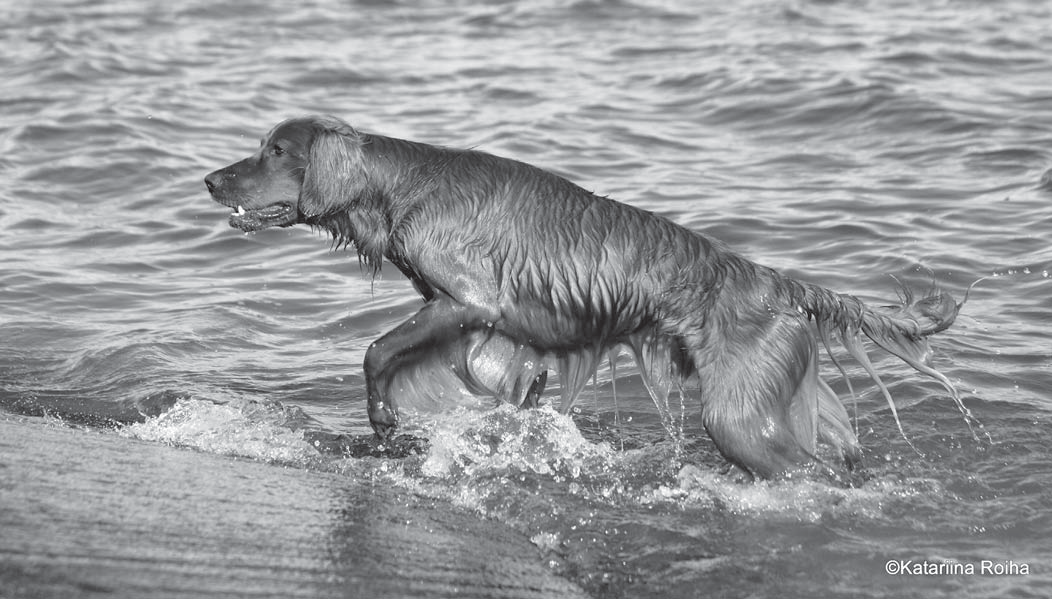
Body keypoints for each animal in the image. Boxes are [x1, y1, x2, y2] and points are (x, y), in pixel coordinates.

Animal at [207, 115, 967, 482]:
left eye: (276, 151)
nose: (211, 180)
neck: (401, 185)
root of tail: (782, 282)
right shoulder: (486, 332)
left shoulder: (468, 301)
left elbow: (374, 352)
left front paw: (386, 423)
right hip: (782, 401)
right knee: (841, 453)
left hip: (737, 419)